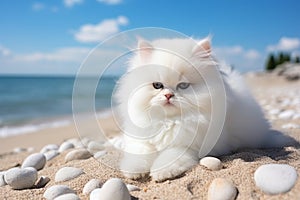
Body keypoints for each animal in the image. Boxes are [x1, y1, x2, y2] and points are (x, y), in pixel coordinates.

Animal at [113, 36, 294, 182]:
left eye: (183, 86)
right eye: (157, 85)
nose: (168, 95)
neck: (170, 121)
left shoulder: (189, 146)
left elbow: (172, 156)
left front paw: (161, 172)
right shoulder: (141, 139)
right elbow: (140, 153)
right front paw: (133, 171)